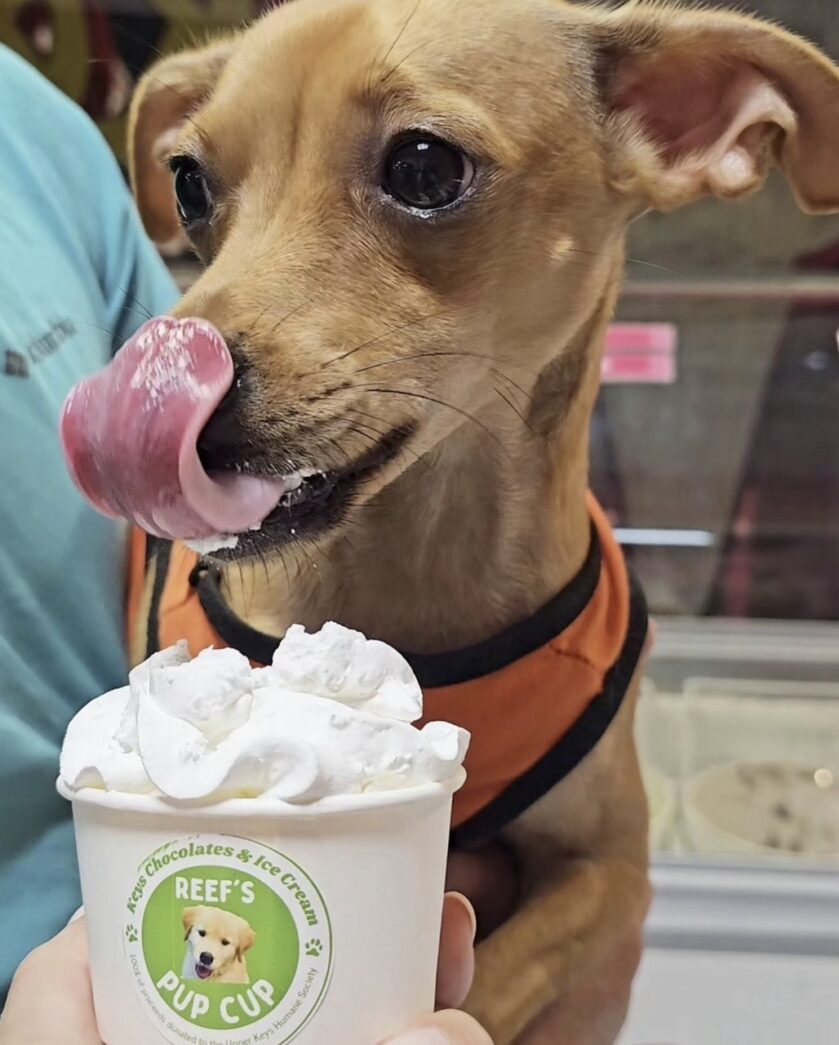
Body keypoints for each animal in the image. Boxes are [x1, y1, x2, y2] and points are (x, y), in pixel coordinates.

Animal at [86, 4, 839, 1040]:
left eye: (423, 168)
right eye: (189, 182)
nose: (159, 379)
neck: (422, 561)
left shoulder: (612, 871)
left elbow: (496, 977)